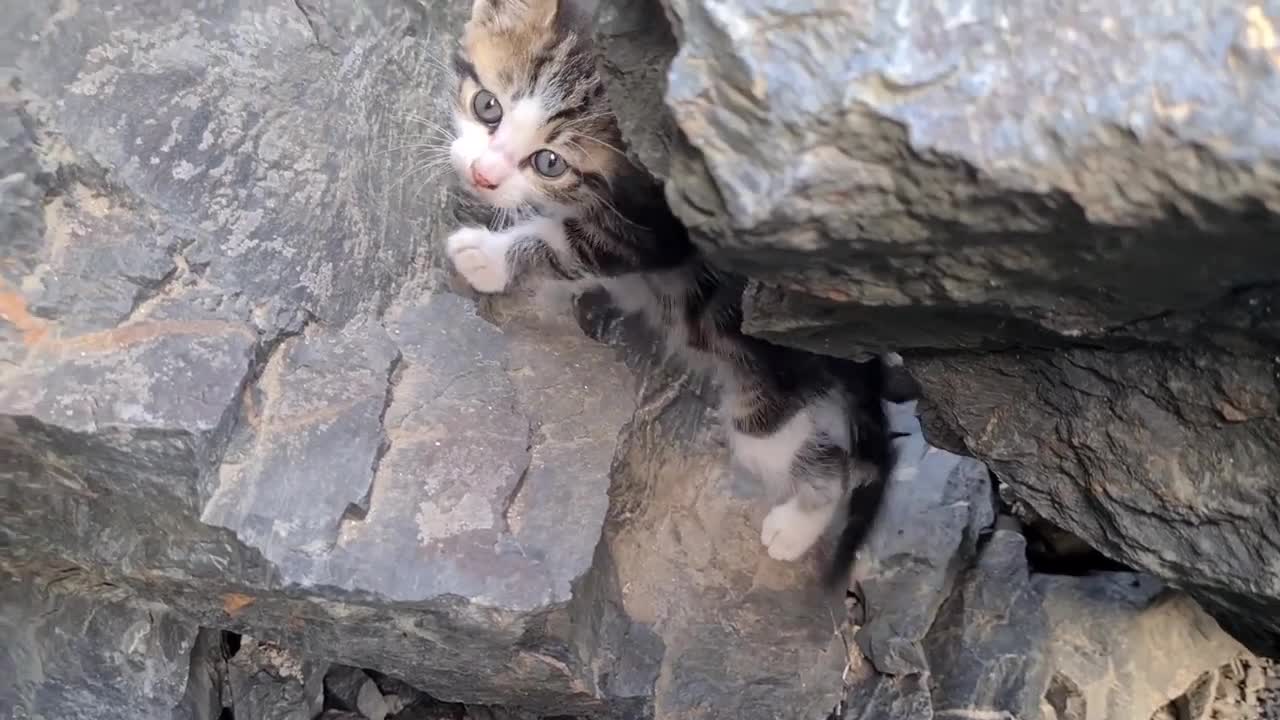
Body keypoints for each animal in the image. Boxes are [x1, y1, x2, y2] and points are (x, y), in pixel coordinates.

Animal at [440, 0, 911, 579]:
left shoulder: (655, 234)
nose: (482, 176)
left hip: (764, 401)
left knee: (825, 464)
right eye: (488, 106)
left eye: (550, 161)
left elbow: (566, 244)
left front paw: (488, 257)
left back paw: (794, 528)